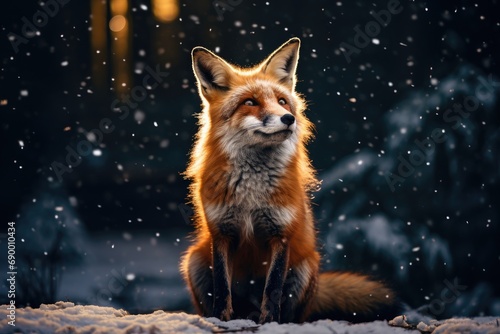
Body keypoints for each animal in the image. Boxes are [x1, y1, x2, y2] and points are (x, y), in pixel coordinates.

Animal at [182, 38, 396, 324]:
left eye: (282, 101)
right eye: (250, 102)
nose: (289, 119)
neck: (251, 194)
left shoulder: (281, 234)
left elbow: (273, 288)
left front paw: (271, 322)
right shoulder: (221, 232)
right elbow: (221, 287)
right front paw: (221, 318)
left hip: (305, 266)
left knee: (294, 313)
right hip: (194, 259)